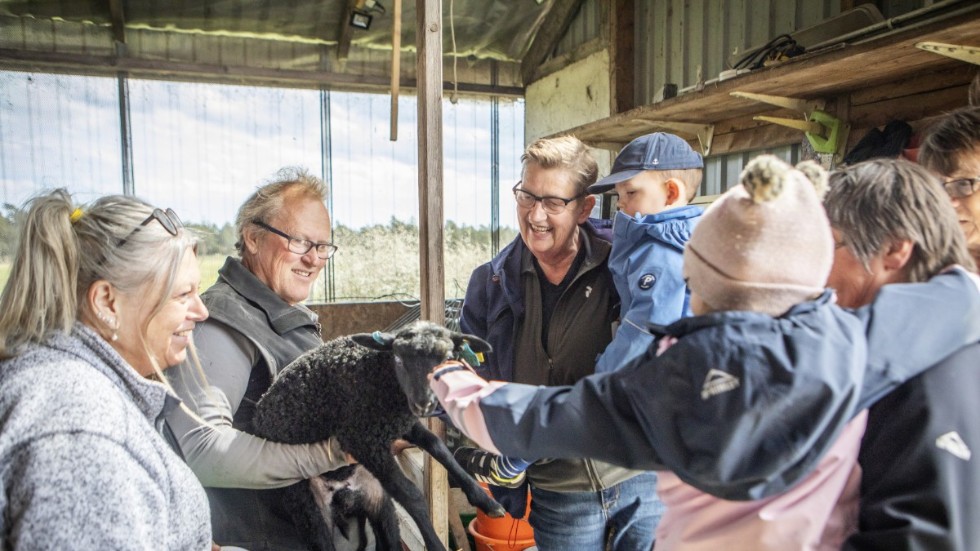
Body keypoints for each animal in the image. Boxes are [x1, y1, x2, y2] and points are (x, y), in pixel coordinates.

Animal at [249, 322, 506, 548]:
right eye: (399, 359)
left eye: (446, 360)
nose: (423, 403)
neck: (382, 378)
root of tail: (343, 496)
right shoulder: (363, 439)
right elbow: (412, 496)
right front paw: (435, 545)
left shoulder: (398, 424)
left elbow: (438, 447)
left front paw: (485, 501)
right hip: (309, 509)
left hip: (380, 503)